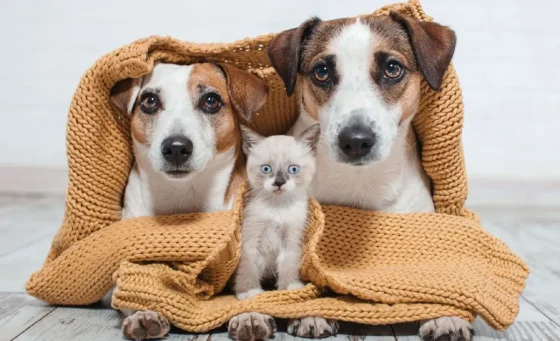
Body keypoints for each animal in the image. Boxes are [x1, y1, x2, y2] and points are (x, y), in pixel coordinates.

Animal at [110, 62, 268, 338]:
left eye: (211, 101)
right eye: (149, 101)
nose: (175, 147)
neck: (183, 196)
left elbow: (248, 286)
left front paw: (250, 314)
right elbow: (134, 288)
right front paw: (143, 312)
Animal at [229, 10, 472, 340]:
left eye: (392, 68)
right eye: (321, 71)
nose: (356, 140)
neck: (360, 182)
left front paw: (446, 315)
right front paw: (293, 311)